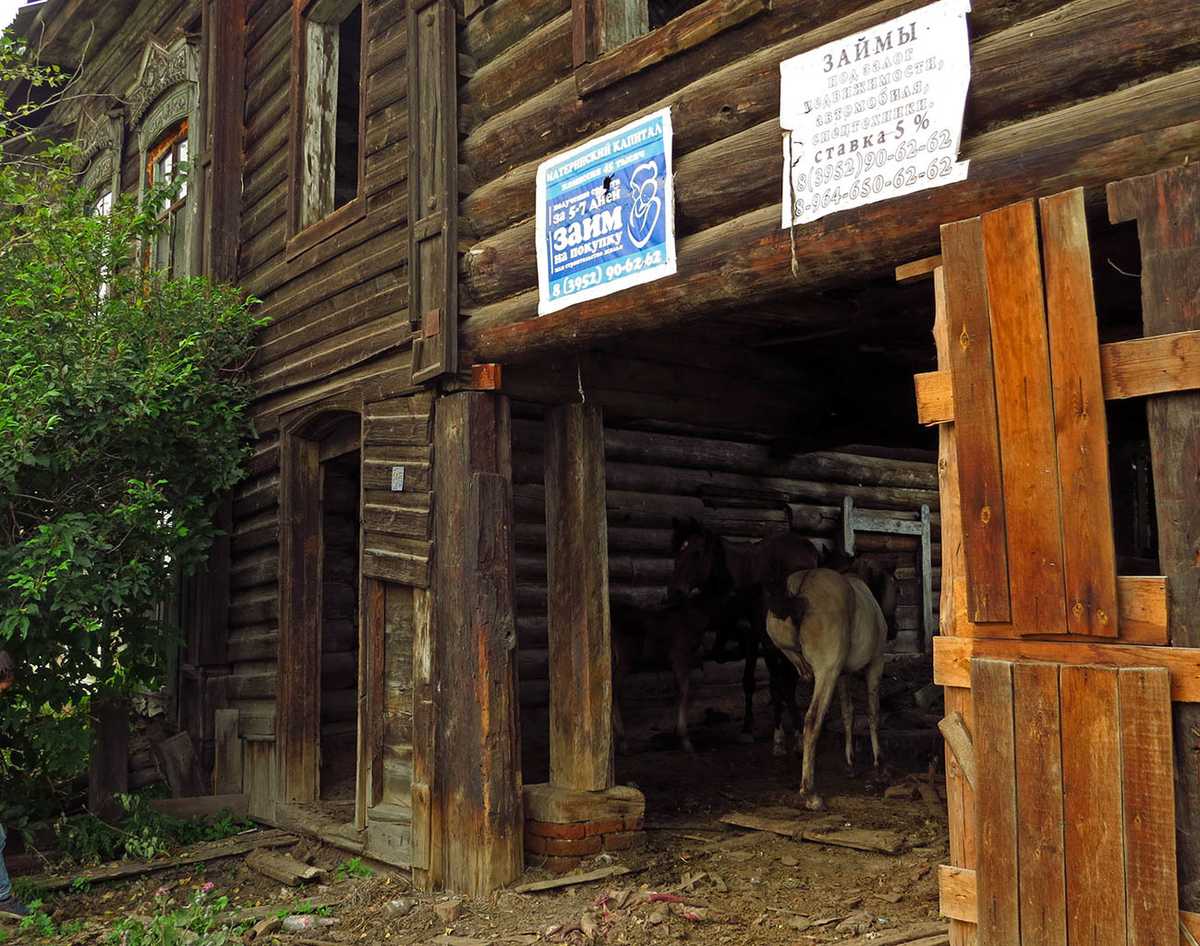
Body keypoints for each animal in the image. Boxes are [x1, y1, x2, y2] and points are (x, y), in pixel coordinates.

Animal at [763, 564, 888, 811]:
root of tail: (799, 591)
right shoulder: (875, 664)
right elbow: (873, 713)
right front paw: (879, 765)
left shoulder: (842, 675)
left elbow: (848, 714)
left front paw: (850, 764)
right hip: (826, 672)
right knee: (812, 720)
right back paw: (811, 793)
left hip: (786, 658)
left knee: (783, 691)